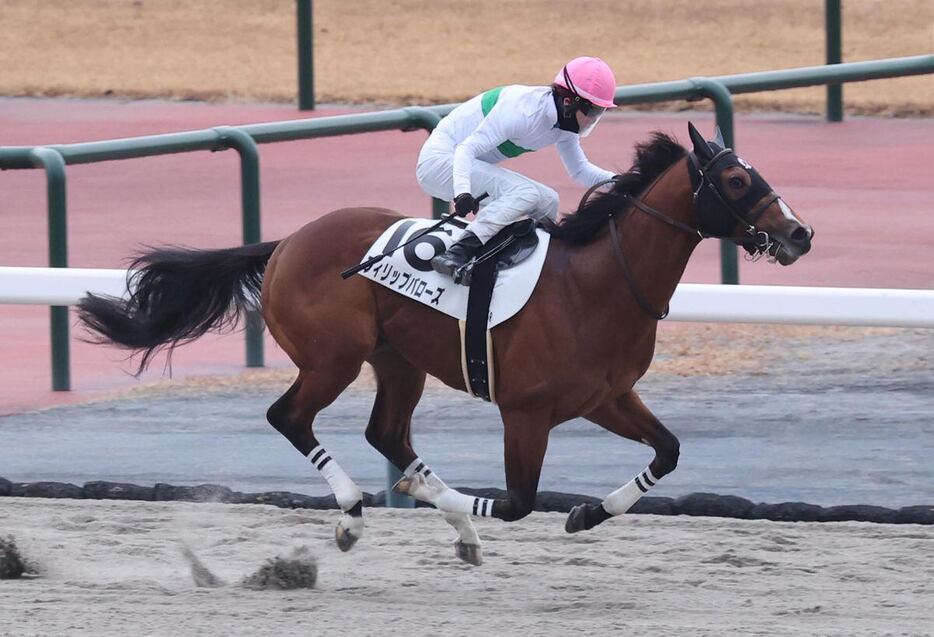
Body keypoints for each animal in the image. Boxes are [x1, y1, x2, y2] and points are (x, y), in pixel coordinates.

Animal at [80, 124, 812, 568]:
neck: (599, 282)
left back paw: (439, 518)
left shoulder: (608, 396)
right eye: (738, 181)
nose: (799, 233)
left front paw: (585, 513)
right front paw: (447, 502)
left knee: (386, 432)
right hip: (332, 357)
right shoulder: (525, 412)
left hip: (397, 360)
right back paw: (354, 514)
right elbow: (517, 501)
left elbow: (668, 451)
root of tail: (286, 241)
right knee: (290, 417)